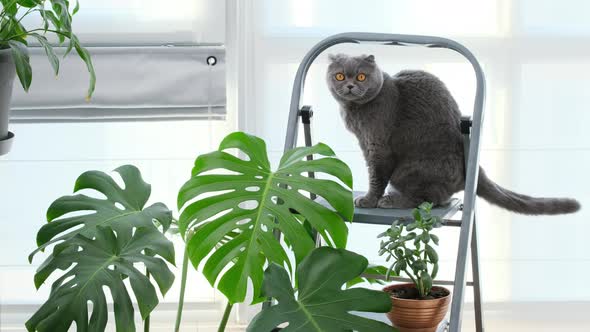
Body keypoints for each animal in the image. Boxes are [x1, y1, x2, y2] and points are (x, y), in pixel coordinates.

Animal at [328, 53, 584, 215]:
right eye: (339, 76)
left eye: (361, 76)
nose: (350, 86)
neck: (354, 110)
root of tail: (473, 168)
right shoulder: (365, 144)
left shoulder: (377, 147)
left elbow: (376, 176)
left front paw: (368, 200)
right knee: (439, 197)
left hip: (407, 170)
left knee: (428, 198)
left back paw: (390, 201)